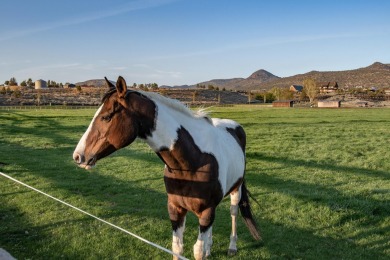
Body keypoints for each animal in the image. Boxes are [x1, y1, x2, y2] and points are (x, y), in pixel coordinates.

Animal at [73, 76, 262, 258]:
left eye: (106, 116)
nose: (78, 156)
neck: (192, 162)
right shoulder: (176, 209)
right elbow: (177, 248)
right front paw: (205, 248)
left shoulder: (206, 211)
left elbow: (197, 251)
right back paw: (210, 248)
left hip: (235, 190)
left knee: (233, 213)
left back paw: (232, 247)